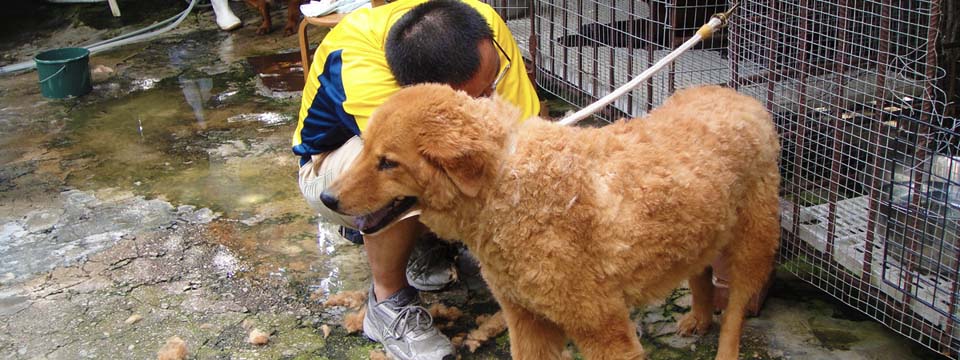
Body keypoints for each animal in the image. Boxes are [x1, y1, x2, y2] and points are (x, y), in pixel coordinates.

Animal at [322, 83, 780, 358]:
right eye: (365, 148)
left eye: (388, 163)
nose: (327, 197)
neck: (506, 188)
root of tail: (738, 97)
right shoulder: (527, 322)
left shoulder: (604, 329)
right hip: (702, 228)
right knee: (700, 271)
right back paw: (699, 317)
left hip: (752, 244)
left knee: (736, 309)